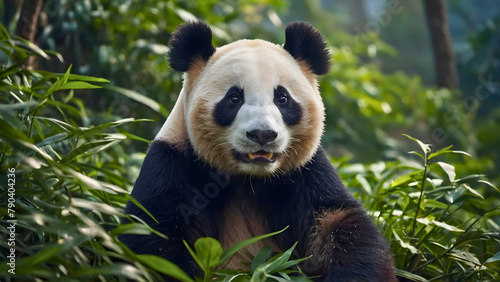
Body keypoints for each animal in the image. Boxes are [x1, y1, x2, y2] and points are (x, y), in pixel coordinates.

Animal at [120, 20, 394, 280]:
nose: (262, 134)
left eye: (282, 98)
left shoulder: (306, 171)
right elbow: (152, 237)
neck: (249, 178)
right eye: (234, 98)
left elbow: (340, 223)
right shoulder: (171, 163)